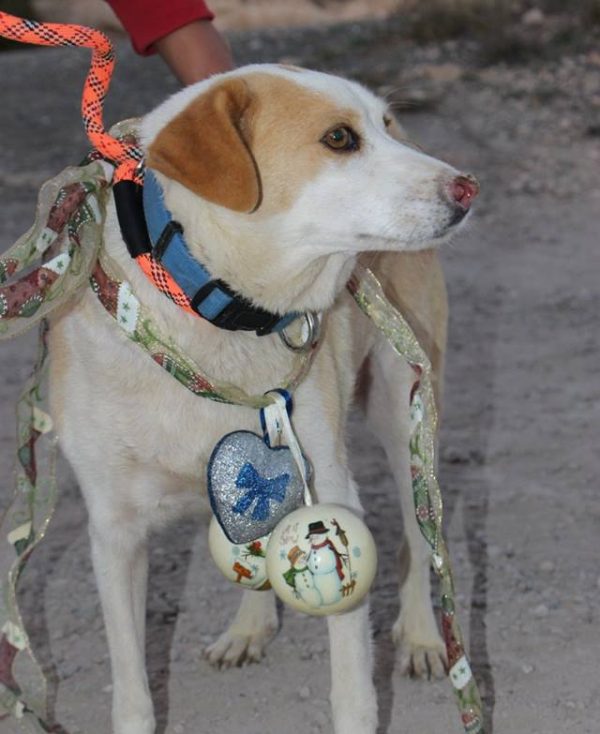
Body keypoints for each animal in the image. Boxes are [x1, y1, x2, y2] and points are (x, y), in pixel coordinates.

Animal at [47, 64, 478, 734]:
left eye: (381, 125)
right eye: (338, 138)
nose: (467, 188)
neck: (210, 318)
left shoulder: (331, 498)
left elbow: (354, 689)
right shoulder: (114, 529)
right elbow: (133, 693)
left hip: (405, 409)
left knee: (418, 532)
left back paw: (424, 638)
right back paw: (247, 630)